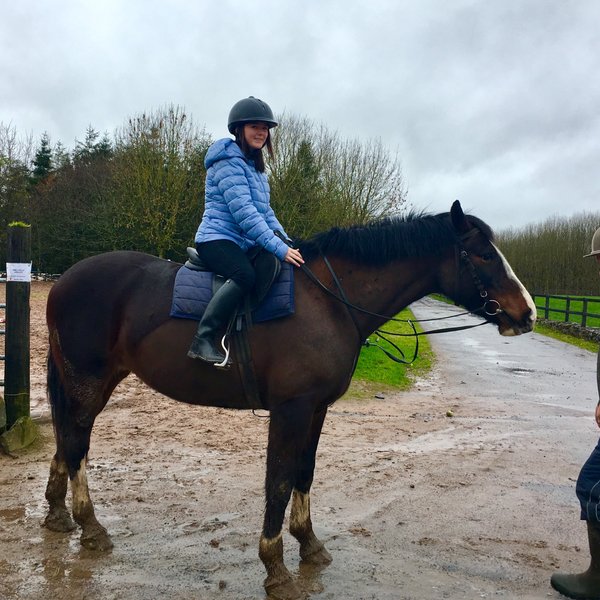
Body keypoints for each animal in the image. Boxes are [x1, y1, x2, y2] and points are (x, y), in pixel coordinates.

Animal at [44, 202, 536, 600]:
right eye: (485, 254)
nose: (528, 313)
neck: (328, 302)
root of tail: (65, 280)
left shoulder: (316, 409)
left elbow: (304, 470)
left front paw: (309, 543)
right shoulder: (291, 409)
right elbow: (278, 481)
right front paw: (275, 566)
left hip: (97, 380)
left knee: (66, 436)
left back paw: (57, 513)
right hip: (89, 379)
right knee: (77, 442)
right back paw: (90, 526)